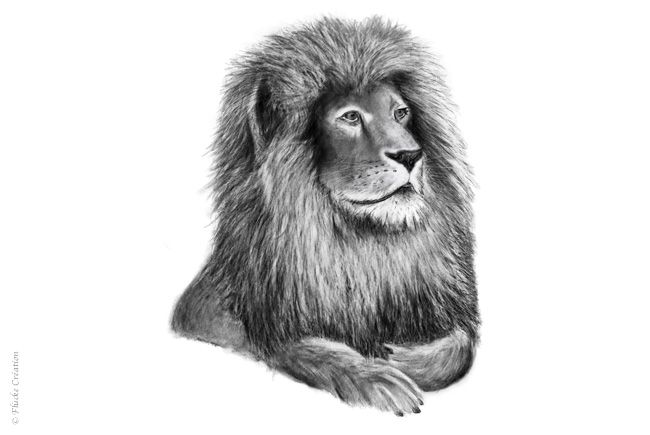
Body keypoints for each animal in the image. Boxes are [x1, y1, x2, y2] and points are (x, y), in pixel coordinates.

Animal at [171, 16, 479, 416]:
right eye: (350, 117)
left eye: (401, 113)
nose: (411, 155)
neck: (362, 246)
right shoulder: (259, 325)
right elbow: (309, 351)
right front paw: (377, 374)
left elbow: (461, 347)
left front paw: (402, 359)